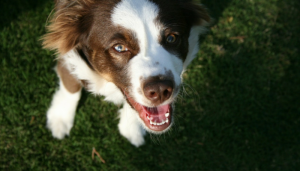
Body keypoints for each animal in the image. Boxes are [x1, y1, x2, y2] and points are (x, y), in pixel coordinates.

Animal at [42, 0, 209, 147]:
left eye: (171, 38)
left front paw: (131, 129)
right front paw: (60, 118)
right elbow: (71, 87)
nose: (160, 90)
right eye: (119, 47)